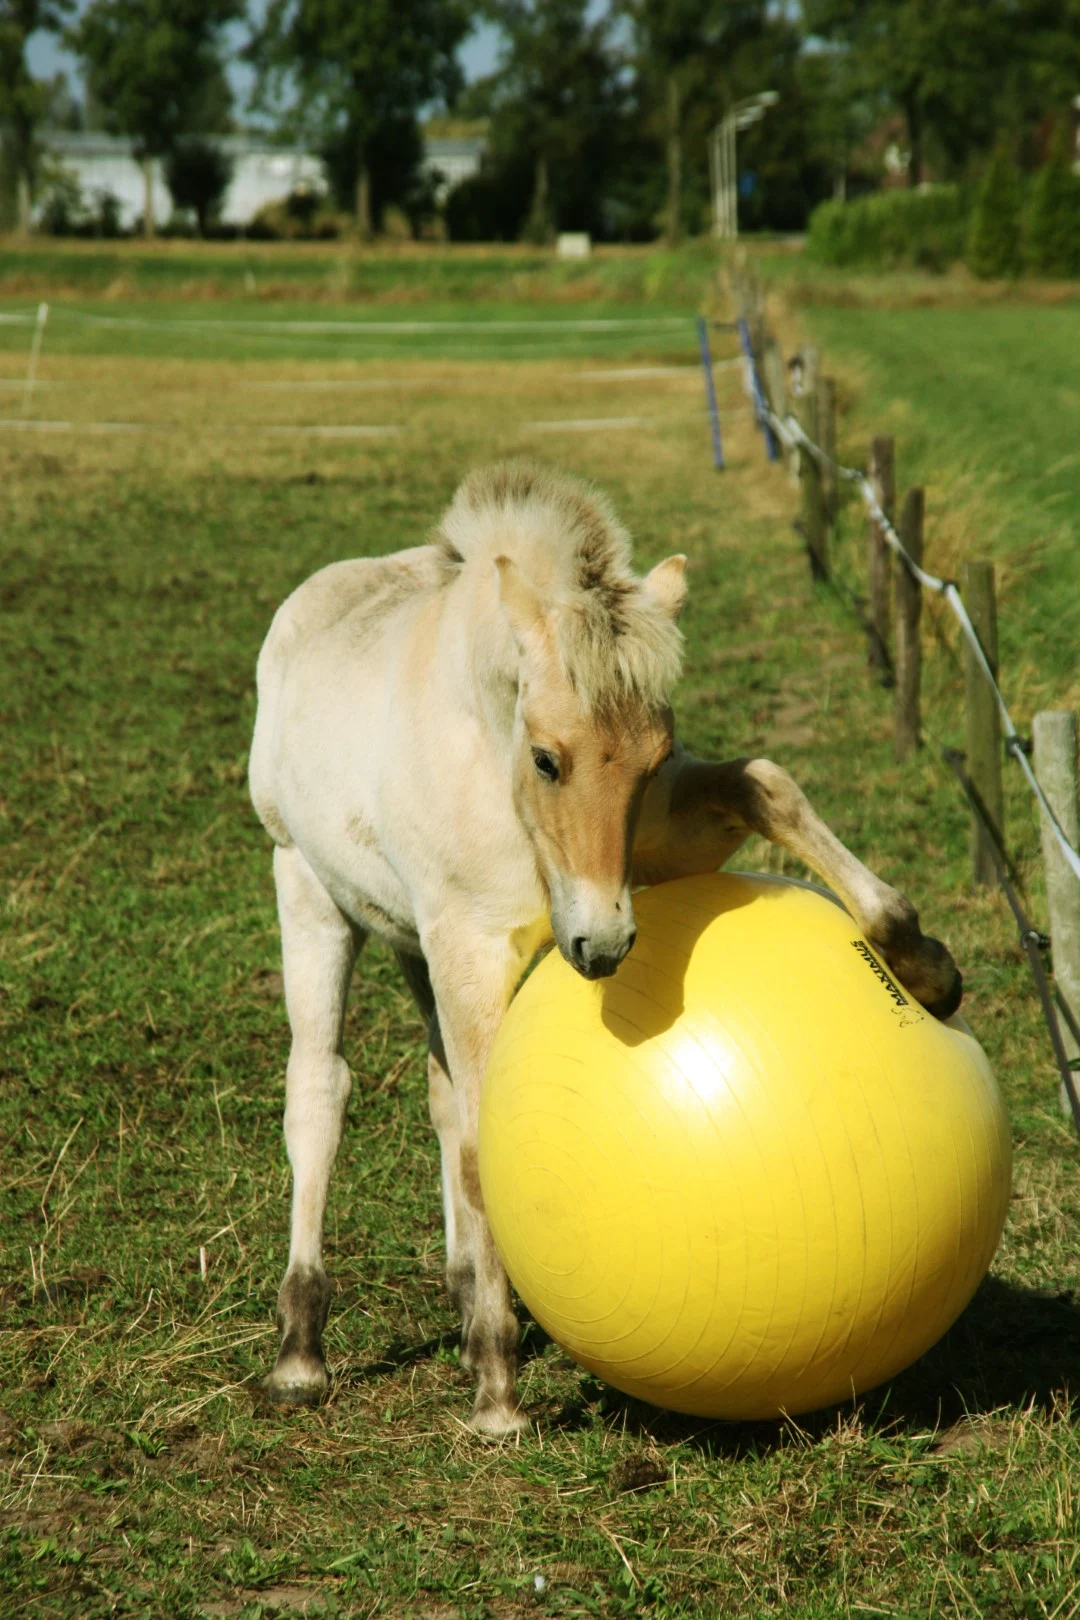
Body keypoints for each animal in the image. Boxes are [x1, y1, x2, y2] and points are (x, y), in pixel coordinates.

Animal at [248, 462, 962, 1435]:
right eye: (550, 758)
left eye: (653, 754)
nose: (604, 943)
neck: (492, 757)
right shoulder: (471, 945)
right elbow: (482, 1144)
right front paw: (499, 1395)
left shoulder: (652, 850)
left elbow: (766, 783)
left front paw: (926, 967)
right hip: (311, 895)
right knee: (319, 1090)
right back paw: (303, 1350)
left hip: (409, 943)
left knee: (436, 1095)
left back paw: (462, 1300)